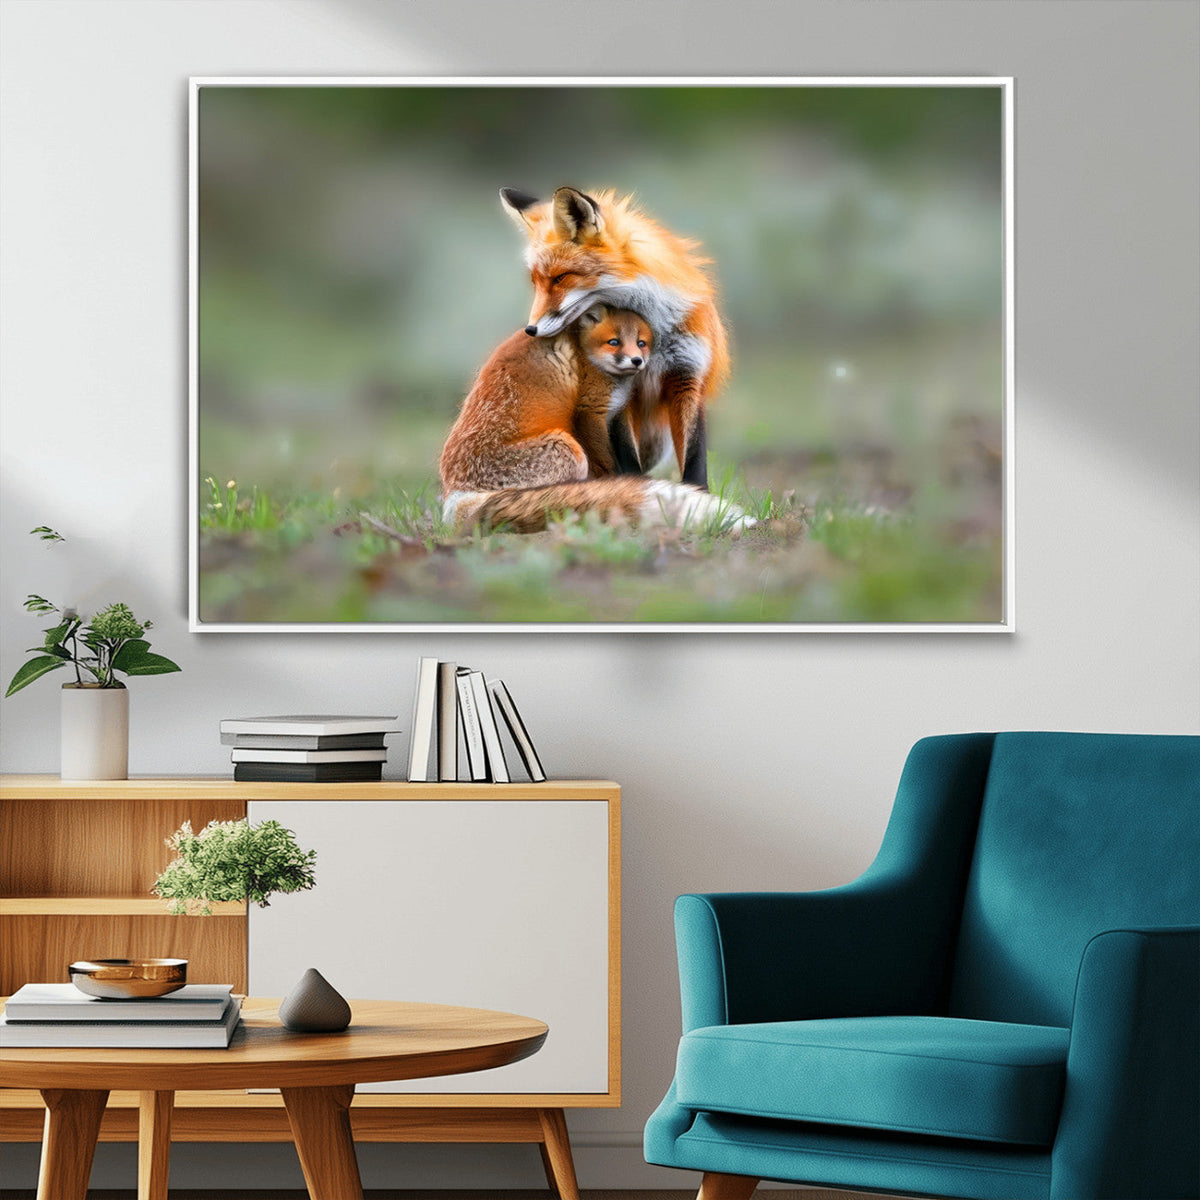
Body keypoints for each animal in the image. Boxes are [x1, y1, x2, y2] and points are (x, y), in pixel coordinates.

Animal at [499, 185, 730, 490]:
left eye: (560, 278)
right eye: (535, 282)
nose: (531, 330)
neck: (654, 334)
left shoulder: (687, 376)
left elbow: (694, 459)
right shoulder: (621, 391)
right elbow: (628, 458)